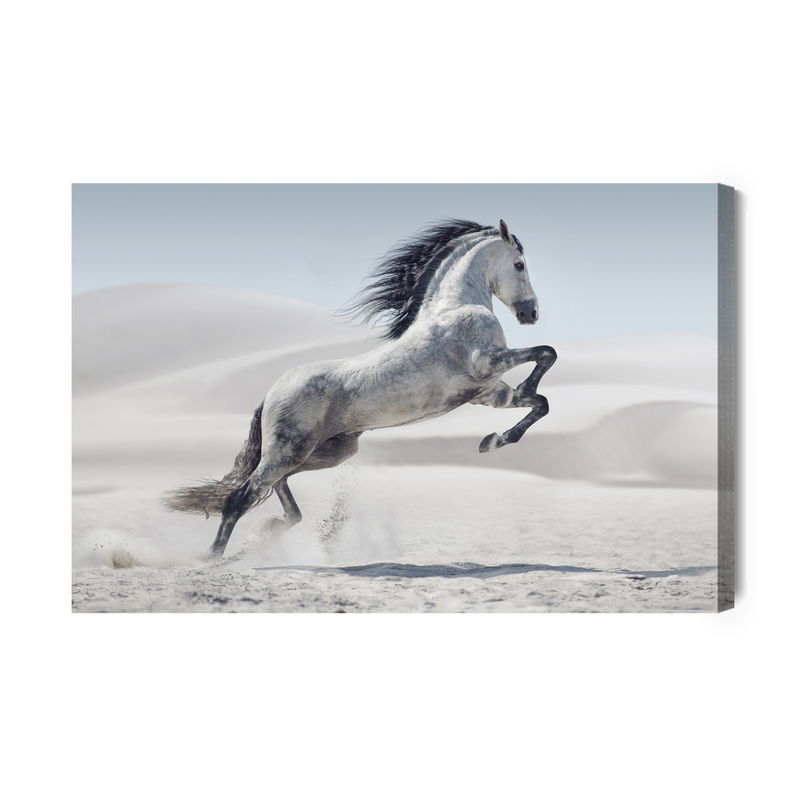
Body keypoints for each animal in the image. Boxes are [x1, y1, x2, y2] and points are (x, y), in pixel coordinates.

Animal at [164, 219, 557, 557]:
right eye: (519, 264)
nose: (532, 313)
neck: (455, 307)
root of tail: (272, 392)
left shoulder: (488, 393)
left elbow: (540, 402)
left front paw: (493, 440)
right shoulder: (486, 363)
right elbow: (546, 353)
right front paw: (501, 428)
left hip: (326, 452)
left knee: (278, 489)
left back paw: (272, 529)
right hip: (289, 451)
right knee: (242, 497)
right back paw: (213, 558)